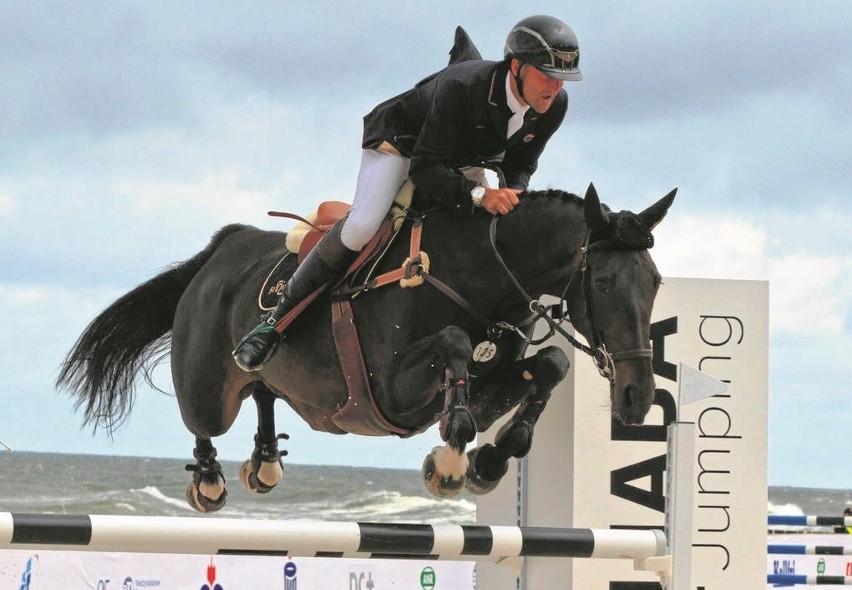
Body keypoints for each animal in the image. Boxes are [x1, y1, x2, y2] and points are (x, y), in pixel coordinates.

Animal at [56, 184, 676, 512]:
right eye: (603, 284)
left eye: (655, 283)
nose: (636, 398)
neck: (478, 276)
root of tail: (221, 251)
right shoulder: (395, 390)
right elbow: (454, 344)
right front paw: (452, 458)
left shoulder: (492, 380)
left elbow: (550, 362)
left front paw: (490, 458)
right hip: (209, 384)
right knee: (205, 419)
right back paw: (210, 479)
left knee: (265, 392)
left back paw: (265, 460)